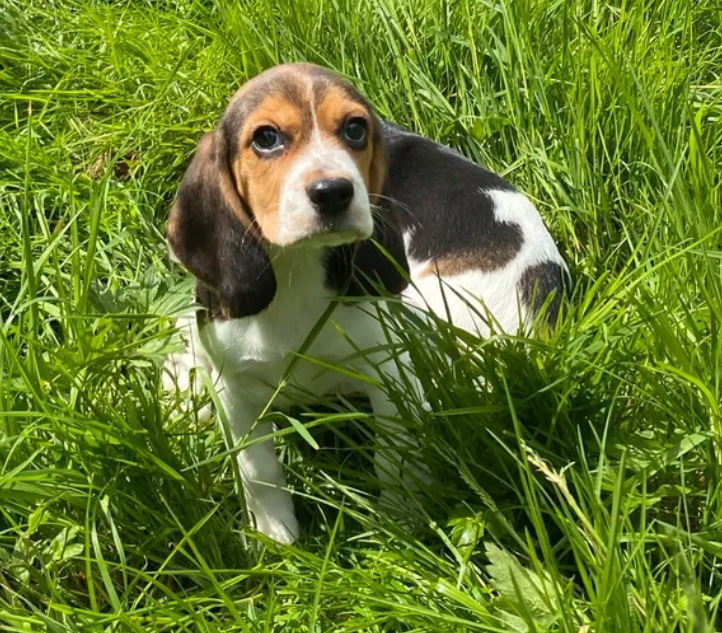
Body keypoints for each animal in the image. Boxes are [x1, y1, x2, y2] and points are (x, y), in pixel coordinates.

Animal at [165, 63, 568, 544]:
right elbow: (258, 468)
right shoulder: (235, 383)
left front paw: (398, 523)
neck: (300, 273)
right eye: (266, 138)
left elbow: (393, 457)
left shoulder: (394, 371)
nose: (333, 191)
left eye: (355, 130)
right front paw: (276, 538)